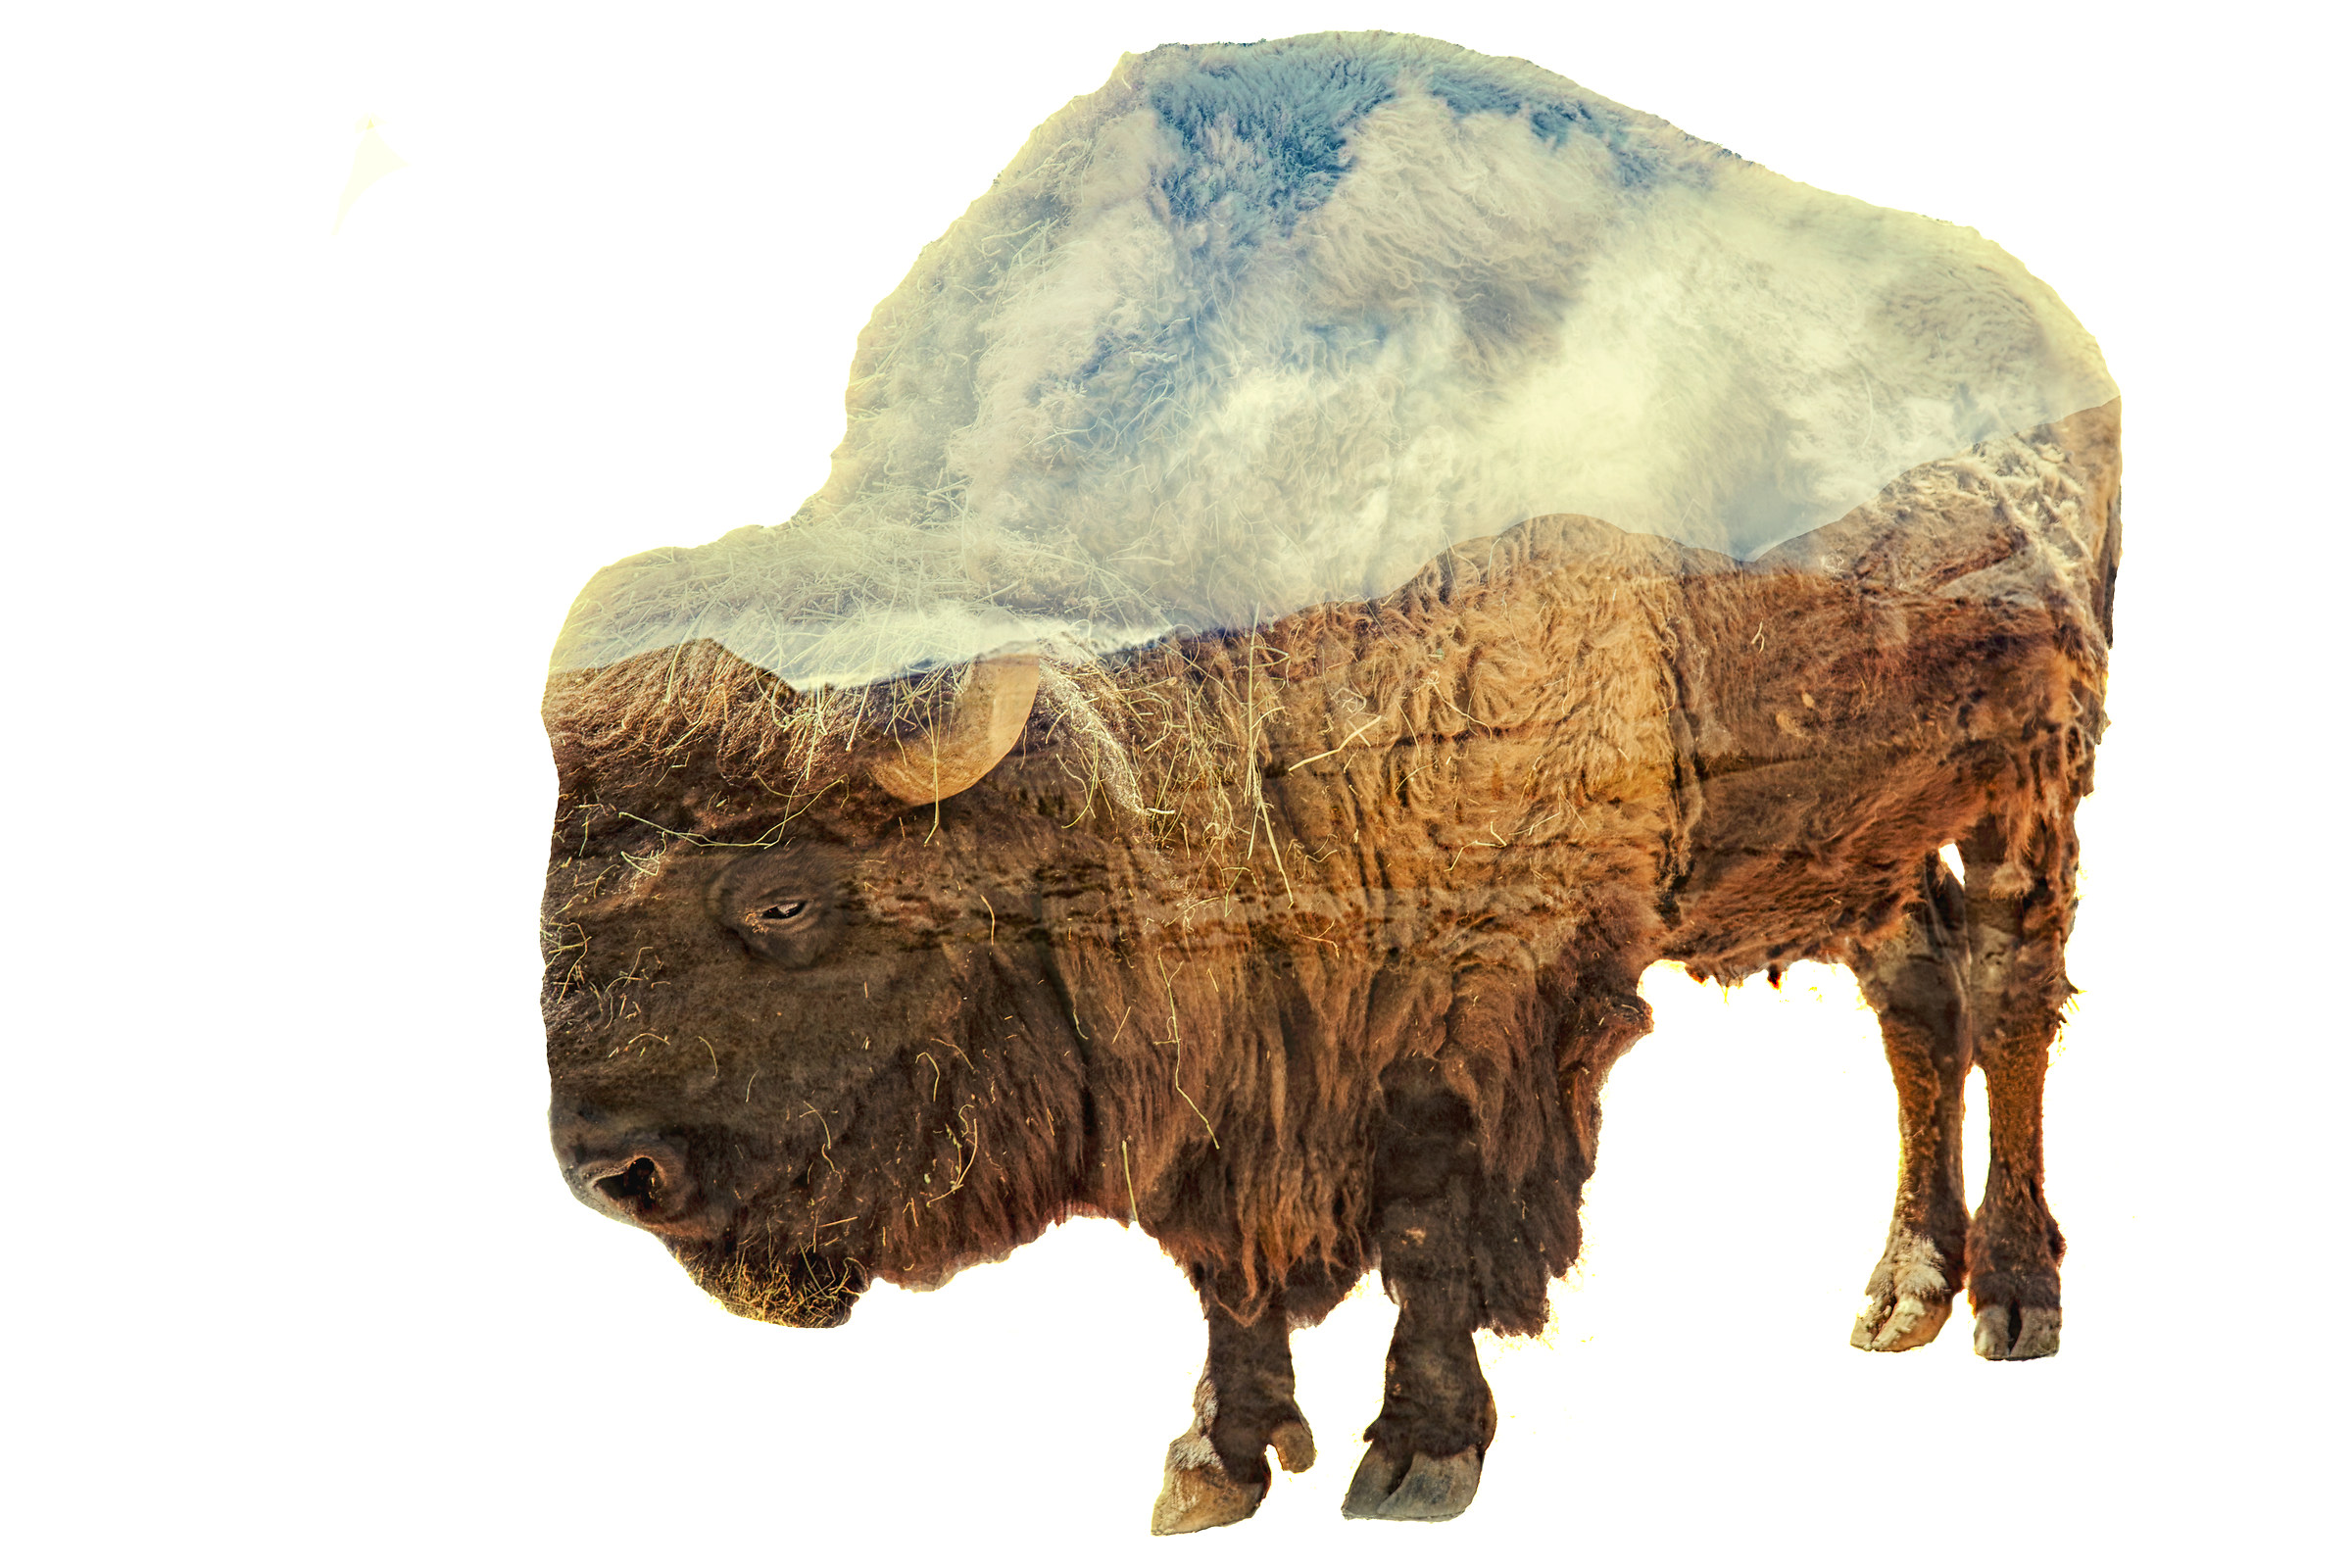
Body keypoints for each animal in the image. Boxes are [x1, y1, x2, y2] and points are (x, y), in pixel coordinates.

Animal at [542, 33, 2118, 1530]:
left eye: (786, 899)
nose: (610, 1172)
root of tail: (2062, 338)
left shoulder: (1476, 998)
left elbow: (1430, 1225)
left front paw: (1418, 1456)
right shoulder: (1240, 1043)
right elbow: (1222, 1264)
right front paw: (1218, 1461)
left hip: (2032, 783)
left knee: (2008, 995)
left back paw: (2013, 1301)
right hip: (1863, 834)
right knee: (1917, 1008)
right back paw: (1902, 1294)